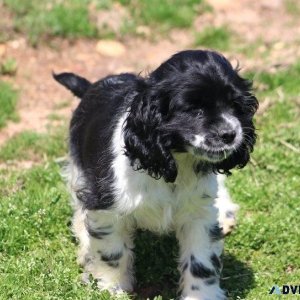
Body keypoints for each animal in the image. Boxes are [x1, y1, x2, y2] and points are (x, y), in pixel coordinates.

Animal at [54, 50, 258, 298]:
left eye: (234, 105)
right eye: (195, 109)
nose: (230, 134)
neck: (175, 163)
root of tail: (92, 86)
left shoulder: (199, 215)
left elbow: (201, 263)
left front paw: (201, 295)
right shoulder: (107, 208)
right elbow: (113, 253)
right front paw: (112, 289)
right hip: (79, 171)